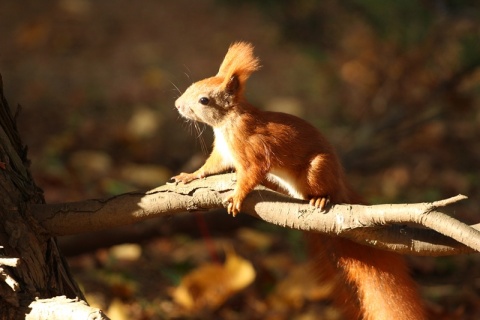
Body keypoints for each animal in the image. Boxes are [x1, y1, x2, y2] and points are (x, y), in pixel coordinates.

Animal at [171, 42, 426, 320]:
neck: (229, 121)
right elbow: (211, 167)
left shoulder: (252, 150)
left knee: (324, 189)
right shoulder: (223, 152)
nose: (177, 105)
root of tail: (342, 186)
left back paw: (321, 198)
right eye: (194, 84)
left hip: (317, 169)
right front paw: (190, 175)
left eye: (204, 100)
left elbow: (251, 174)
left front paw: (238, 196)